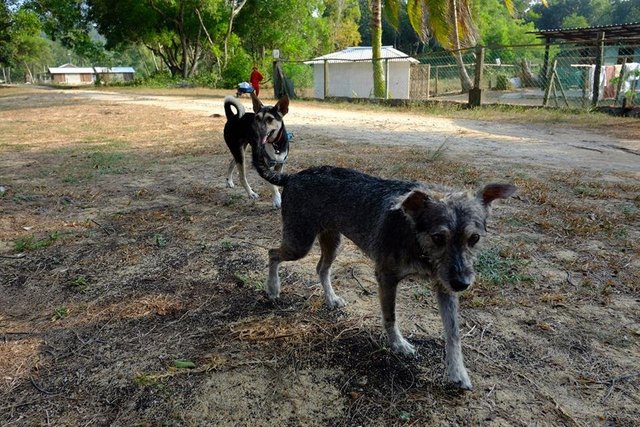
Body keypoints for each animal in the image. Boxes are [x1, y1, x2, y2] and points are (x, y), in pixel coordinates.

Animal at [250, 145, 516, 392]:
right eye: (438, 237)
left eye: (474, 238)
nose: (462, 284)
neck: (416, 239)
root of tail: (293, 176)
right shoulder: (386, 278)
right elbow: (390, 317)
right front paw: (398, 344)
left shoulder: (444, 286)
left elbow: (454, 334)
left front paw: (458, 372)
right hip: (300, 244)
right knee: (272, 253)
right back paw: (273, 288)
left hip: (332, 242)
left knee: (320, 269)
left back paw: (331, 298)